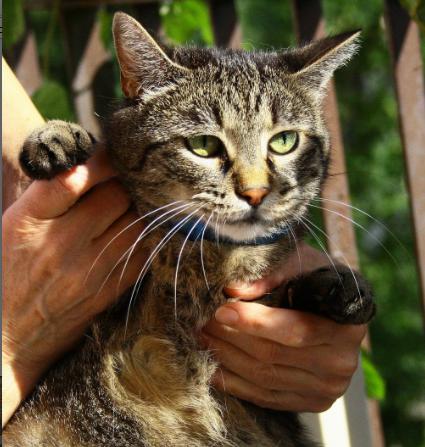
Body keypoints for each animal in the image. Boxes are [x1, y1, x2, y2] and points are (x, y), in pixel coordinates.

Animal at [4, 12, 375, 447]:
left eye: (284, 141)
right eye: (203, 145)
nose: (256, 192)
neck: (205, 260)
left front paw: (341, 289)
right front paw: (59, 136)